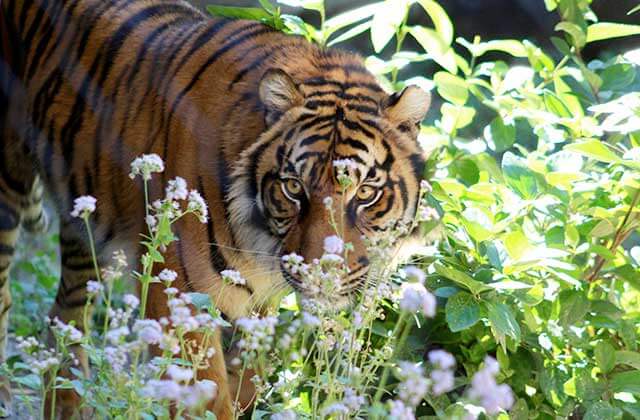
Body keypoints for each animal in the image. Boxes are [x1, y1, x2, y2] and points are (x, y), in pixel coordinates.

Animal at [1, 0, 430, 416]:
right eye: (294, 187)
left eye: (365, 193)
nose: (320, 276)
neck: (259, 242)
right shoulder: (179, 297)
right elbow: (206, 398)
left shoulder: (259, 307)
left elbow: (249, 383)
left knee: (66, 318)